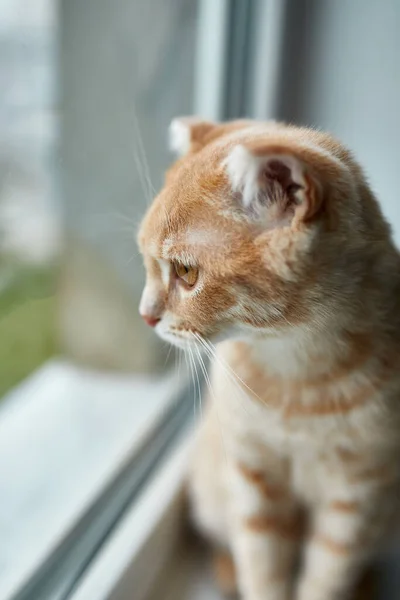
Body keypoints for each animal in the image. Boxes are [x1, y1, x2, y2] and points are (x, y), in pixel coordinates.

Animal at [137, 118, 400, 600]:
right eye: (146, 262)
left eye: (186, 272)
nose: (145, 316)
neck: (299, 373)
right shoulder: (252, 476)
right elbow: (262, 564)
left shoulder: (358, 496)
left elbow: (328, 572)